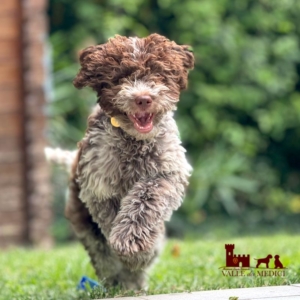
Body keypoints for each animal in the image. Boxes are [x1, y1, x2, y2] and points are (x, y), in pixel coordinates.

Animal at [45, 34, 193, 290]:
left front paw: (133, 245)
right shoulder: (98, 187)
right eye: (121, 77)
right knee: (101, 252)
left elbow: (146, 199)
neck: (134, 141)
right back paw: (118, 281)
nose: (143, 99)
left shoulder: (167, 172)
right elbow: (111, 219)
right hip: (81, 216)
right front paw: (128, 249)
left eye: (157, 73)